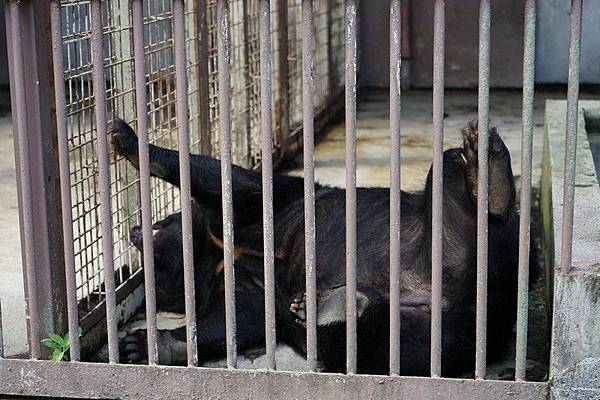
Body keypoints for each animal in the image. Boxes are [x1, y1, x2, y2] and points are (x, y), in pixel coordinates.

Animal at [112, 117, 520, 376]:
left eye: (163, 222)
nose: (134, 229)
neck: (213, 257)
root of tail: (490, 313)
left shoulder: (266, 207)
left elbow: (241, 187)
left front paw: (127, 139)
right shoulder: (245, 287)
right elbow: (234, 318)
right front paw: (140, 347)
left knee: (454, 177)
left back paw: (488, 168)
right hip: (433, 340)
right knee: (371, 344)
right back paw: (330, 306)